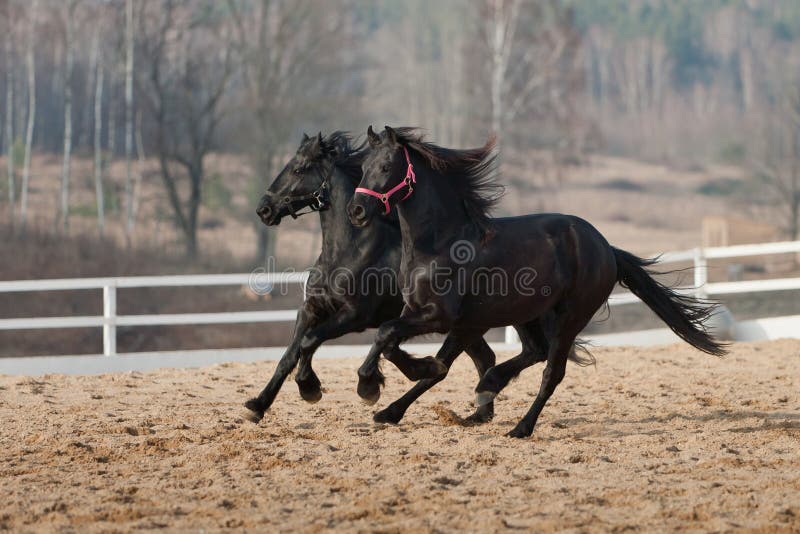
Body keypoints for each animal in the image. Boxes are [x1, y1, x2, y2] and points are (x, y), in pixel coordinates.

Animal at [244, 132, 496, 426]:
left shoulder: (355, 315)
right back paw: (480, 414)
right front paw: (257, 405)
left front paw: (315, 387)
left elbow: (310, 341)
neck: (347, 251)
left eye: (299, 169)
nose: (264, 209)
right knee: (483, 358)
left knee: (452, 365)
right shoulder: (312, 308)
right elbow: (290, 355)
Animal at [346, 126, 728, 440]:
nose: (357, 211)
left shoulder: (442, 317)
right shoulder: (444, 318)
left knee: (551, 371)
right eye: (363, 168)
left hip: (571, 317)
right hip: (526, 314)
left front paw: (372, 387)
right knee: (535, 351)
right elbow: (403, 348)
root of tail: (605, 248)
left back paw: (521, 426)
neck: (441, 242)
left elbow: (394, 340)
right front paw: (388, 406)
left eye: (386, 167)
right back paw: (489, 385)